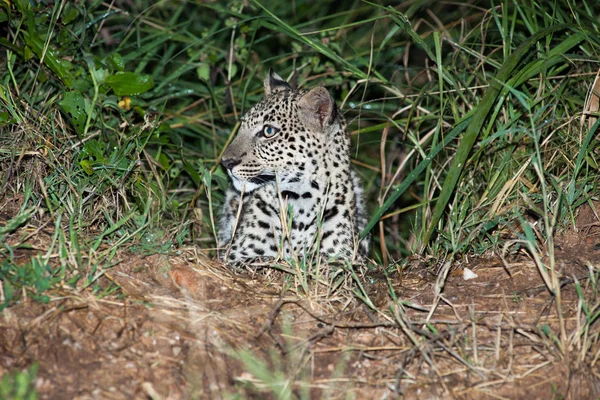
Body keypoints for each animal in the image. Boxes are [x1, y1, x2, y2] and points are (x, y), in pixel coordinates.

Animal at [218, 70, 368, 264]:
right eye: (242, 126)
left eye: (268, 131)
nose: (226, 162)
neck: (301, 199)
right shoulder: (237, 255)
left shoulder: (348, 257)